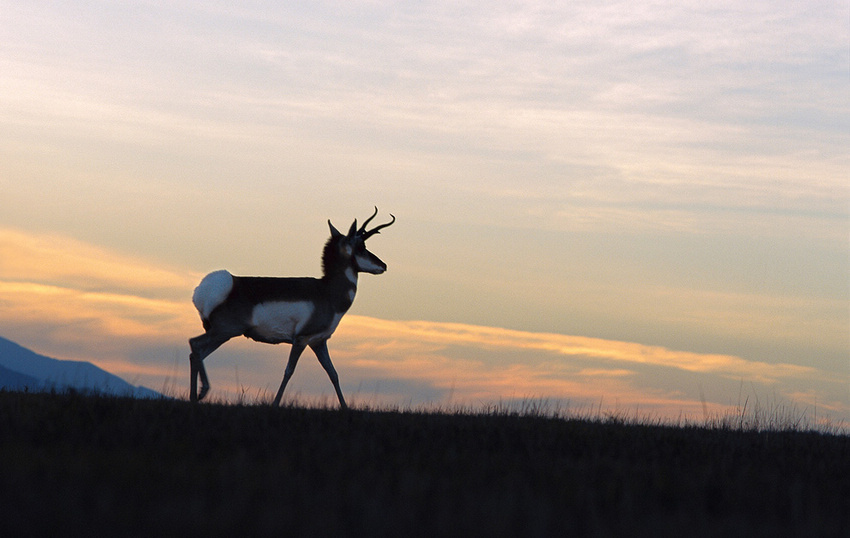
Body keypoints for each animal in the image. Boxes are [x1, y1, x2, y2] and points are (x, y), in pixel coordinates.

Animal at [187, 206, 392, 406]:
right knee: (195, 345)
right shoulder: (301, 339)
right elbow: (289, 371)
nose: (384, 265)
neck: (327, 292)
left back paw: (195, 397)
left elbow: (333, 374)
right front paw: (275, 404)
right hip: (225, 331)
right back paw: (202, 393)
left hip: (223, 334)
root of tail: (224, 283)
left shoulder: (319, 342)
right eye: (361, 246)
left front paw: (345, 407)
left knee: (196, 353)